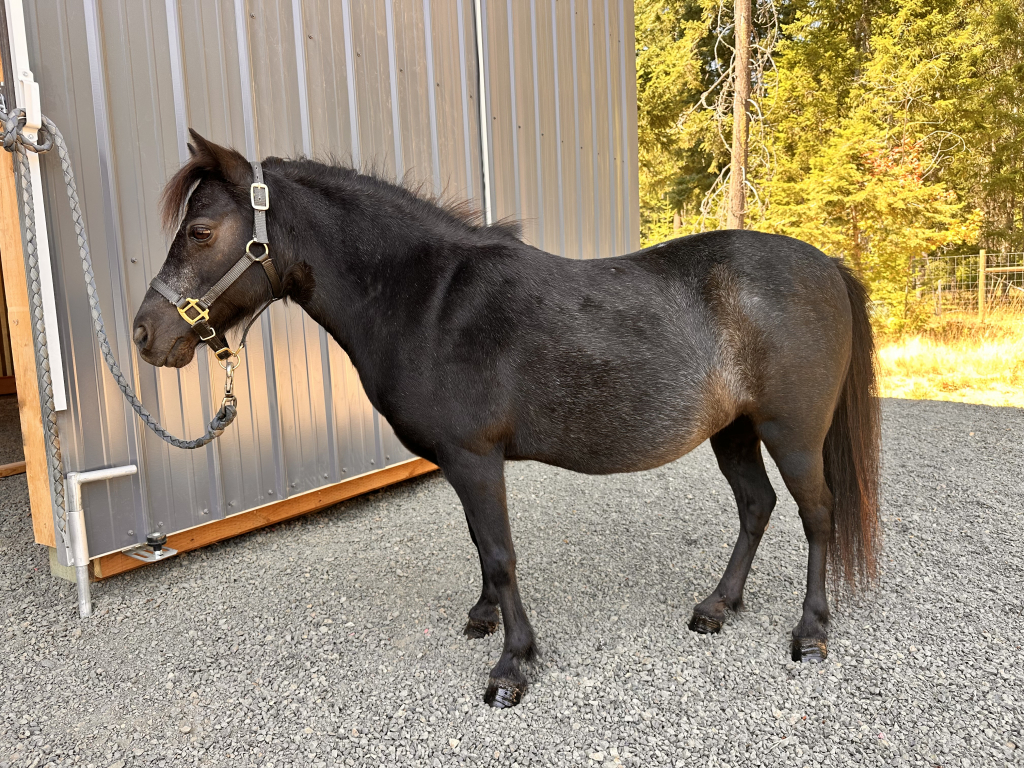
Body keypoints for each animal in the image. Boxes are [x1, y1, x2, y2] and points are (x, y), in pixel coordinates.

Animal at [132, 131, 881, 708]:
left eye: (201, 232)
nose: (144, 334)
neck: (428, 300)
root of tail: (826, 264)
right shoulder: (465, 465)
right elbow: (481, 547)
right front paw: (485, 618)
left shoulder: (474, 457)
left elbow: (499, 551)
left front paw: (512, 666)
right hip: (733, 430)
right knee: (756, 506)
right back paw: (717, 607)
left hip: (792, 433)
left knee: (816, 515)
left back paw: (811, 632)